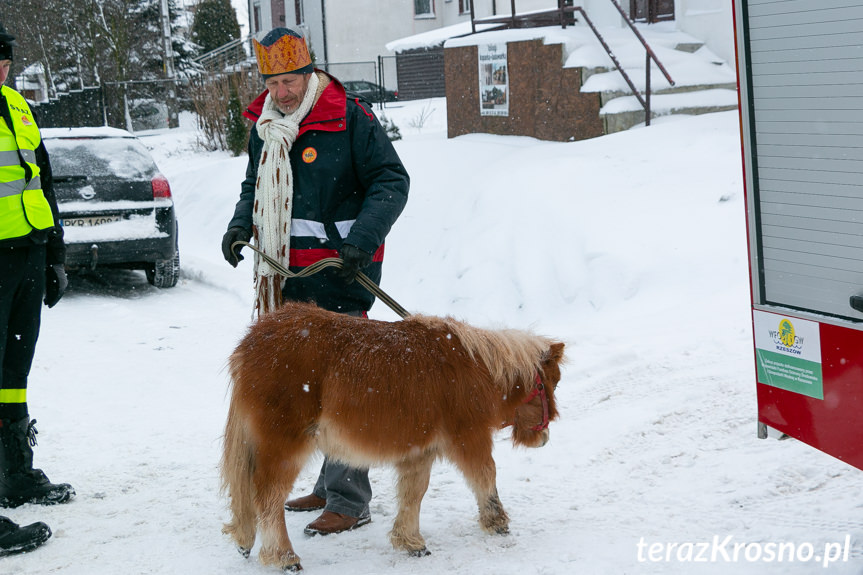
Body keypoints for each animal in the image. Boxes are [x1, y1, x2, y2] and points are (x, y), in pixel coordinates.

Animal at [219, 302, 564, 572]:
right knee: (268, 496)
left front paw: (411, 542)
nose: (545, 437)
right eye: (549, 384)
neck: (474, 368)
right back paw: (283, 557)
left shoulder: (419, 452)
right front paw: (497, 522)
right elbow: (485, 477)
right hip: (284, 445)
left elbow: (414, 493)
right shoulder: (469, 438)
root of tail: (251, 343)